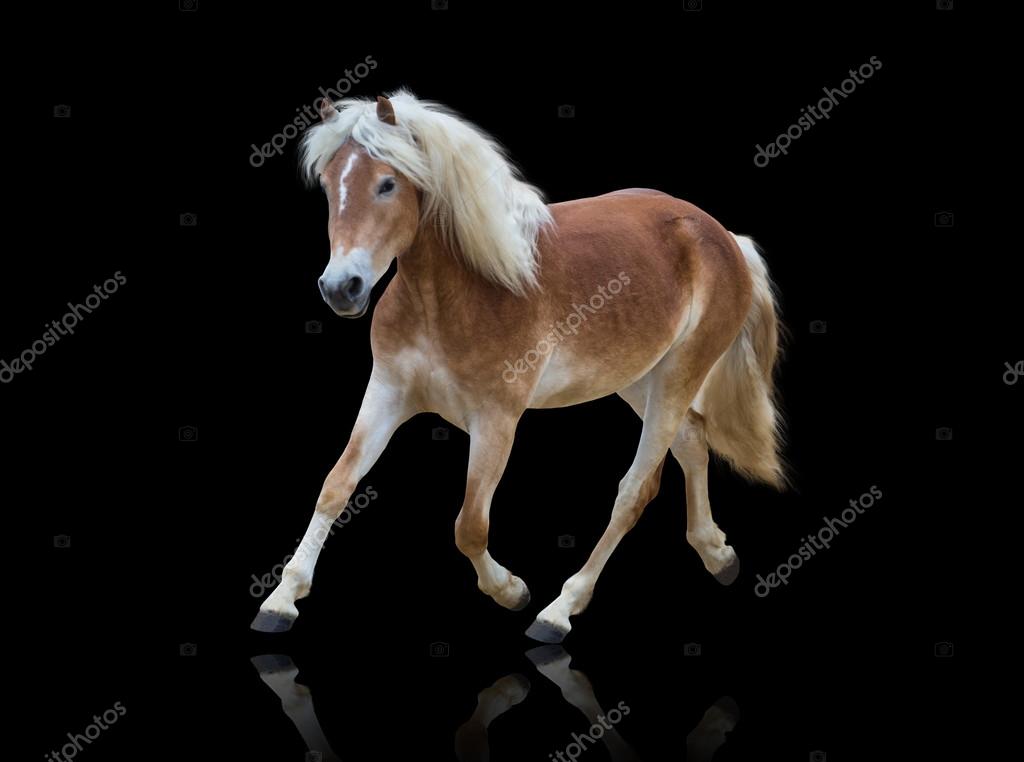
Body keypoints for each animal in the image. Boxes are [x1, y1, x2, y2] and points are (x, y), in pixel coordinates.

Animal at [251, 90, 786, 643]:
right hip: (640, 379)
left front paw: (511, 591)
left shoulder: (496, 420)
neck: (454, 296)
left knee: (636, 489)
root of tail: (725, 237)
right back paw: (717, 553)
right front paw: (281, 600)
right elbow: (335, 487)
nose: (341, 288)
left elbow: (469, 526)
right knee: (693, 441)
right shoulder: (386, 394)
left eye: (387, 183)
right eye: (328, 184)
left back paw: (559, 610)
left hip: (679, 375)